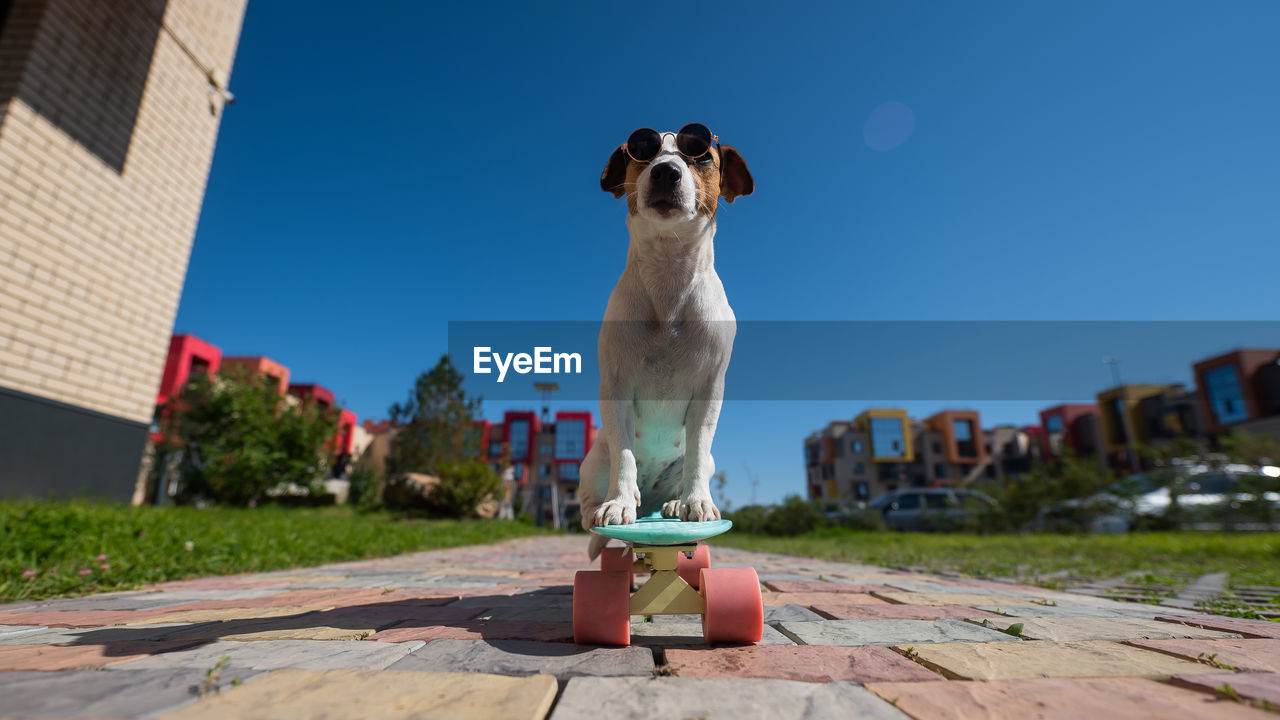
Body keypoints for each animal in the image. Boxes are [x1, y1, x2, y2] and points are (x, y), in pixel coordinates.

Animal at [578, 122, 747, 558]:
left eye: (700, 155)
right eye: (642, 150)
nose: (666, 171)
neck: (669, 268)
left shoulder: (710, 390)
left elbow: (697, 450)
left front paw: (696, 501)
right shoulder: (615, 387)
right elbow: (624, 456)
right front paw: (618, 502)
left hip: (703, 463)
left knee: (691, 468)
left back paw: (672, 502)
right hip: (592, 461)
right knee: (593, 497)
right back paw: (607, 507)